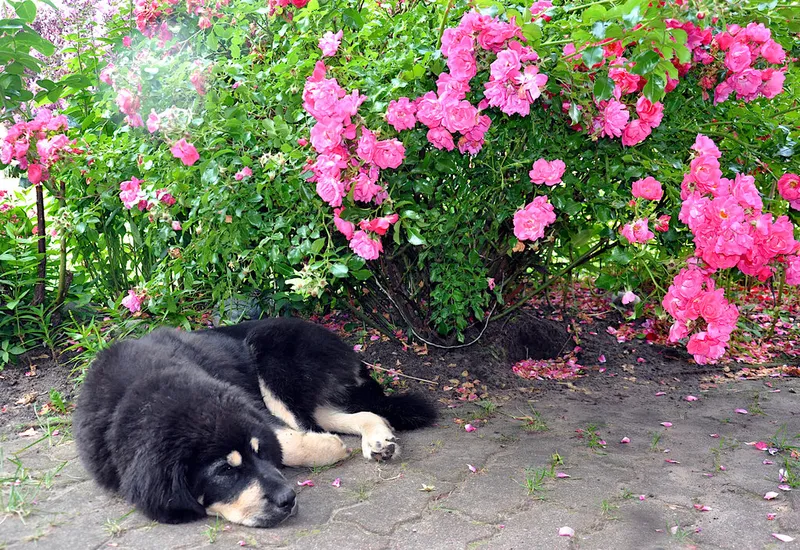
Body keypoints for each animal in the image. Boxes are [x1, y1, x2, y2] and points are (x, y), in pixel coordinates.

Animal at [74, 317, 437, 527]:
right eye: (224, 471)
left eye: (256, 455)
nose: (288, 499)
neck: (145, 390)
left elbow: (280, 440)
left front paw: (327, 450)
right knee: (357, 414)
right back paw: (377, 440)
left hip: (269, 353)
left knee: (309, 421)